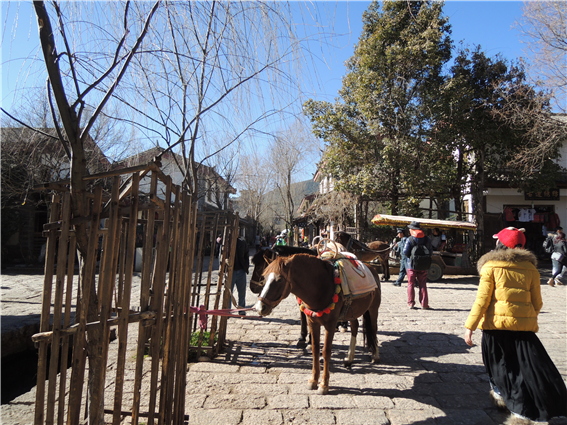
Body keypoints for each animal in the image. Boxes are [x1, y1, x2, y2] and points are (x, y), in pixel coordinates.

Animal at [256, 252, 382, 394]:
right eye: (264, 278)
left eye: (280, 279)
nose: (260, 307)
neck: (321, 286)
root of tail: (372, 268)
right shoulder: (312, 322)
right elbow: (315, 349)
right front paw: (313, 380)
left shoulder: (330, 324)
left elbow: (326, 351)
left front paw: (324, 385)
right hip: (351, 313)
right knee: (355, 326)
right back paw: (349, 358)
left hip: (373, 309)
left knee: (373, 329)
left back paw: (375, 355)